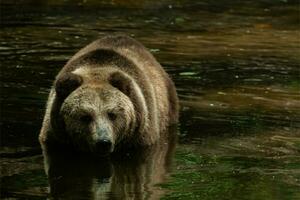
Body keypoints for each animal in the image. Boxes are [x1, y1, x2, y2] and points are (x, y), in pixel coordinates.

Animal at [39, 34, 178, 155]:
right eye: (85, 116)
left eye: (112, 114)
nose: (103, 142)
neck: (98, 68)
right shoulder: (55, 136)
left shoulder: (141, 137)